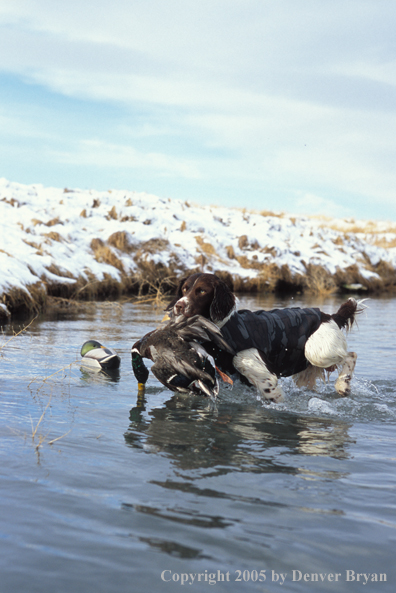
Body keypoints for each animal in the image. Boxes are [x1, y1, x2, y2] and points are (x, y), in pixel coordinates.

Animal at [167, 272, 366, 402]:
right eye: (184, 289)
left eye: (202, 291)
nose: (178, 306)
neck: (222, 327)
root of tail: (330, 316)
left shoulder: (250, 361)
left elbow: (270, 390)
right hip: (306, 370)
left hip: (317, 352)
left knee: (351, 355)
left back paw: (343, 385)